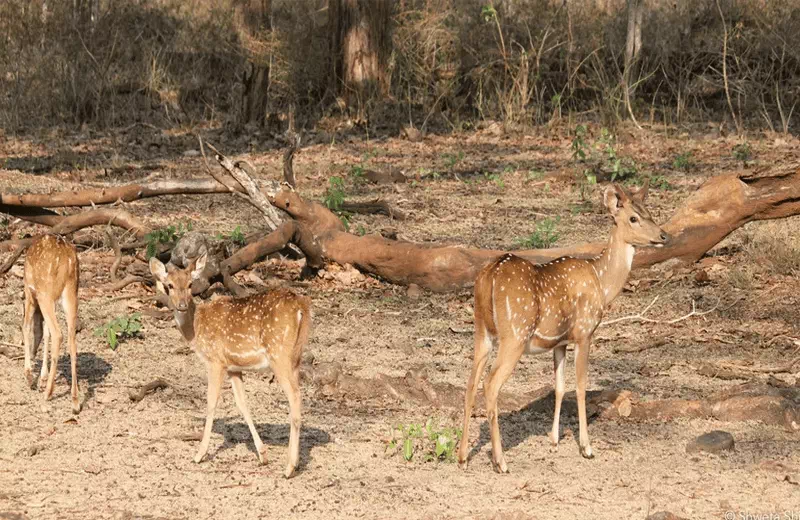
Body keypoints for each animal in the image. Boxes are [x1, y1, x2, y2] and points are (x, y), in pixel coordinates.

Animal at [22, 234, 81, 412]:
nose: (33, 353)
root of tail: (68, 261)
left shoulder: (29, 292)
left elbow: (26, 327)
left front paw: (30, 376)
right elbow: (45, 332)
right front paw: (42, 377)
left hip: (45, 293)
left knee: (58, 334)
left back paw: (48, 393)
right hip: (71, 293)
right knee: (71, 338)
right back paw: (75, 402)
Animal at [148, 253, 310, 480]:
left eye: (190, 284)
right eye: (169, 285)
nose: (181, 305)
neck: (196, 329)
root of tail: (301, 308)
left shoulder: (216, 361)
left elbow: (211, 402)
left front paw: (199, 454)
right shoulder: (234, 367)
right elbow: (242, 404)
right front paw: (262, 454)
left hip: (279, 354)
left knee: (295, 397)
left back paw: (289, 467)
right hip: (296, 356)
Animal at [456, 181, 668, 474]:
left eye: (649, 211)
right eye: (633, 218)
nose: (663, 235)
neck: (601, 282)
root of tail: (489, 276)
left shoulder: (559, 341)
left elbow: (558, 386)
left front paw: (554, 440)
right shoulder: (584, 332)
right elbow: (580, 386)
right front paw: (586, 447)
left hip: (481, 331)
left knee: (470, 382)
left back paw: (463, 457)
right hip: (515, 334)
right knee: (490, 383)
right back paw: (501, 461)